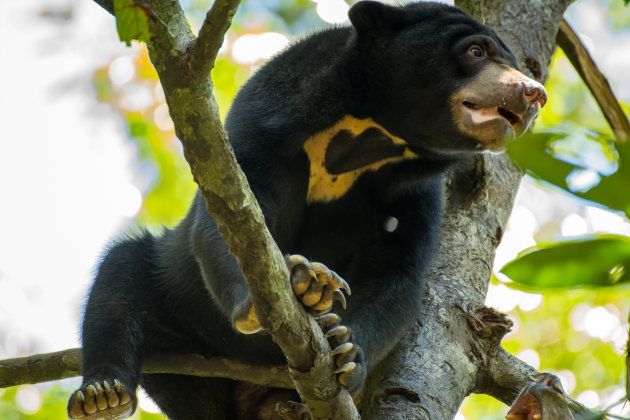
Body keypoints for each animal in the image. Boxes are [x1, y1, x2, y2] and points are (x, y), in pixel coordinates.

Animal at [66, 1, 544, 418]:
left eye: (518, 67)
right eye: (476, 51)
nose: (533, 93)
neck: (372, 135)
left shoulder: (417, 191)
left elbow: (399, 273)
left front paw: (347, 351)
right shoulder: (267, 121)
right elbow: (232, 221)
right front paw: (304, 283)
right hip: (179, 310)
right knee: (119, 280)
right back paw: (102, 394)